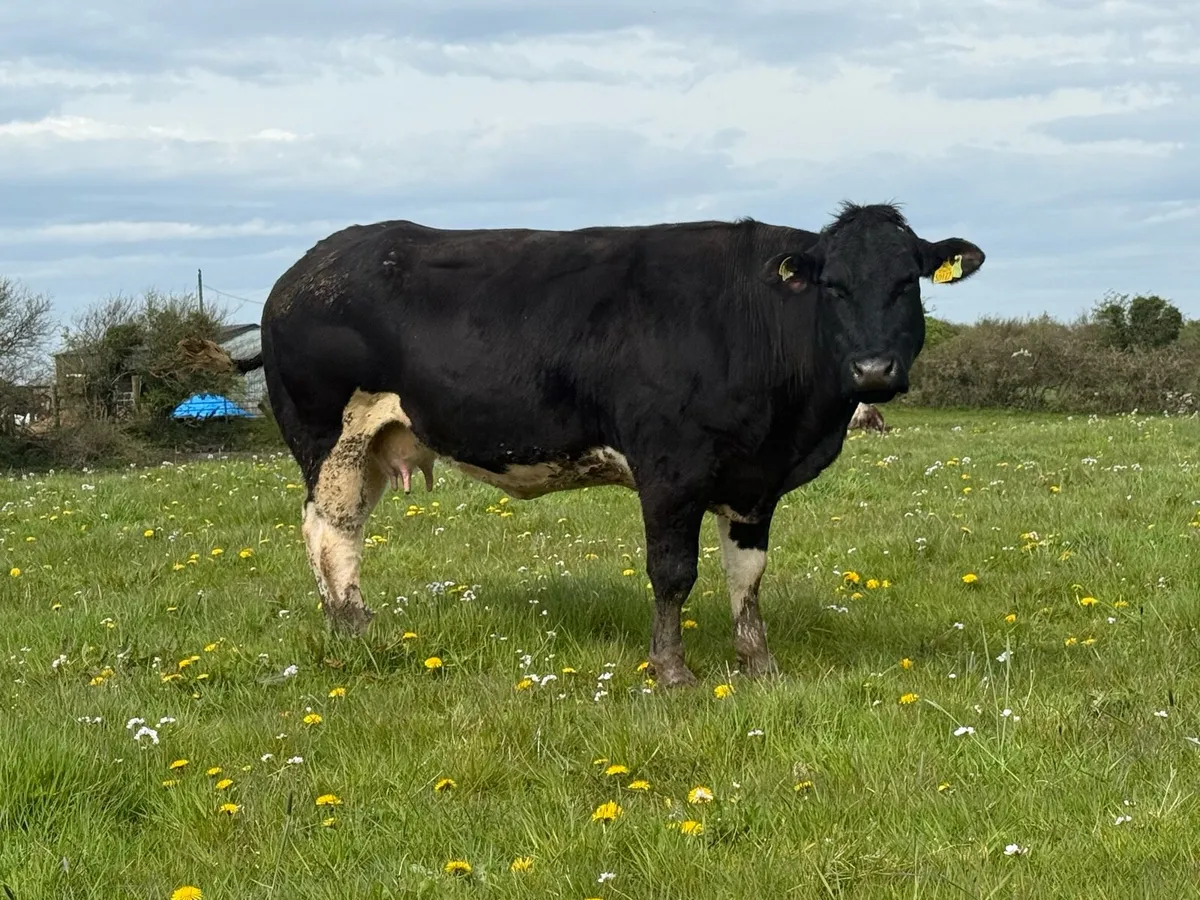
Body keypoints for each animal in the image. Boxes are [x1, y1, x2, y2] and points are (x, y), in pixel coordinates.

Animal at [247, 202, 984, 687]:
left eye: (907, 282)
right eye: (833, 287)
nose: (873, 371)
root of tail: (308, 266)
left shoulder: (754, 479)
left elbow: (747, 574)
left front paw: (758, 664)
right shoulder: (671, 466)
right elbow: (673, 572)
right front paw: (673, 671)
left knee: (343, 528)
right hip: (329, 436)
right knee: (330, 529)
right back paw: (353, 628)